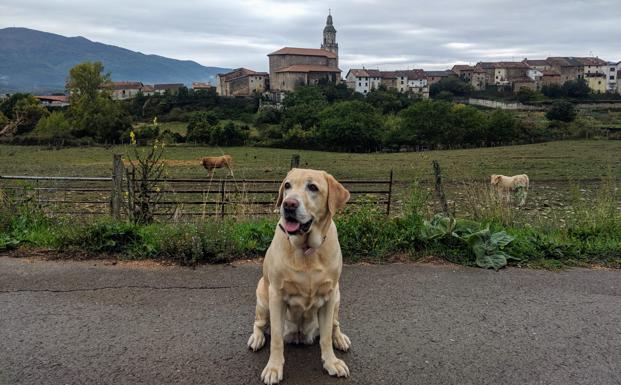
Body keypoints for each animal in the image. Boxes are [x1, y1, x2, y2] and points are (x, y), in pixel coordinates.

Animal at [248, 168, 354, 384]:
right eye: (287, 185)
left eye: (312, 187)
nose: (288, 204)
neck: (306, 250)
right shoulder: (276, 296)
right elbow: (276, 338)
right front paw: (273, 368)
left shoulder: (330, 296)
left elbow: (325, 337)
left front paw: (331, 362)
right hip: (262, 297)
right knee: (260, 324)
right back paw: (257, 337)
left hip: (338, 297)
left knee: (334, 325)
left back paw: (340, 338)